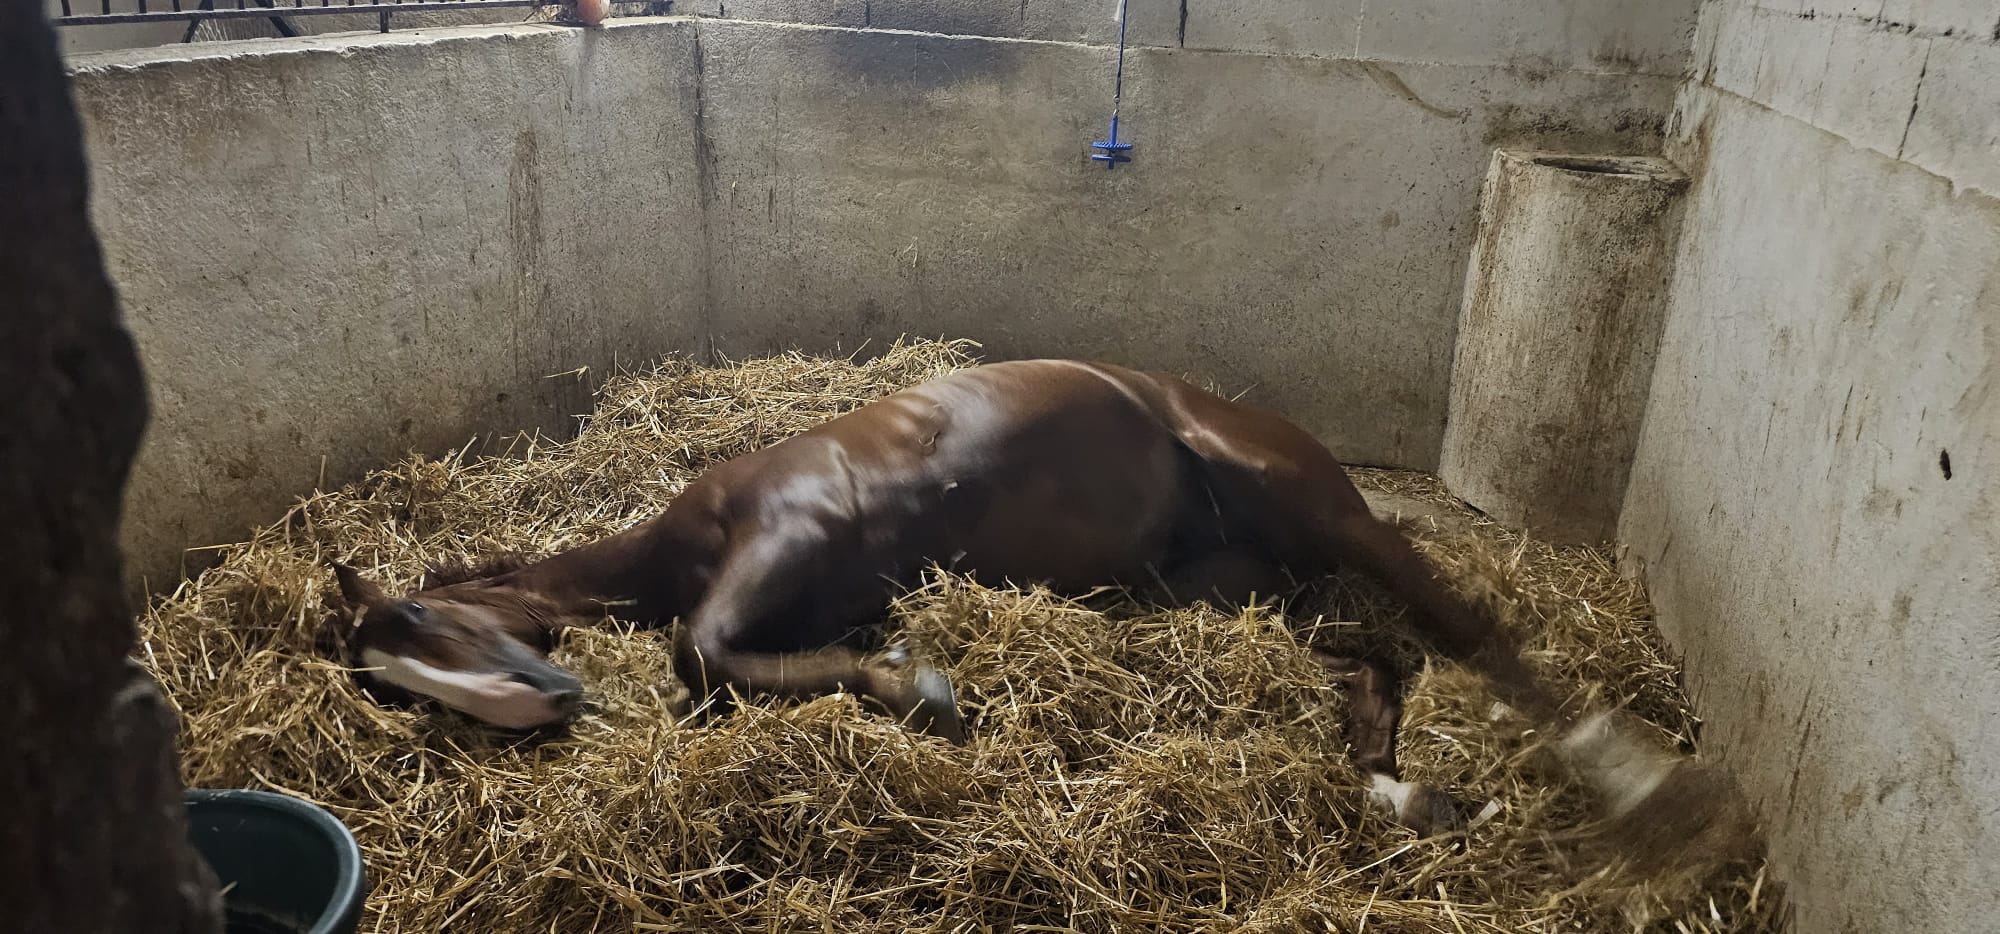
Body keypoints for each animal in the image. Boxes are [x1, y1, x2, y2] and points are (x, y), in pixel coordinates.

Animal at [340, 358, 1688, 832]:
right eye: (402, 685)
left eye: (422, 623)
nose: (541, 707)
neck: (686, 533)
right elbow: (716, 650)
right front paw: (907, 678)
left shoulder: (793, 533)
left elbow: (700, 652)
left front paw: (923, 687)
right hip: (1215, 596)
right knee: (1371, 660)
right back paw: (1398, 784)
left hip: (1313, 507)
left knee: (1463, 619)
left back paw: (1629, 771)